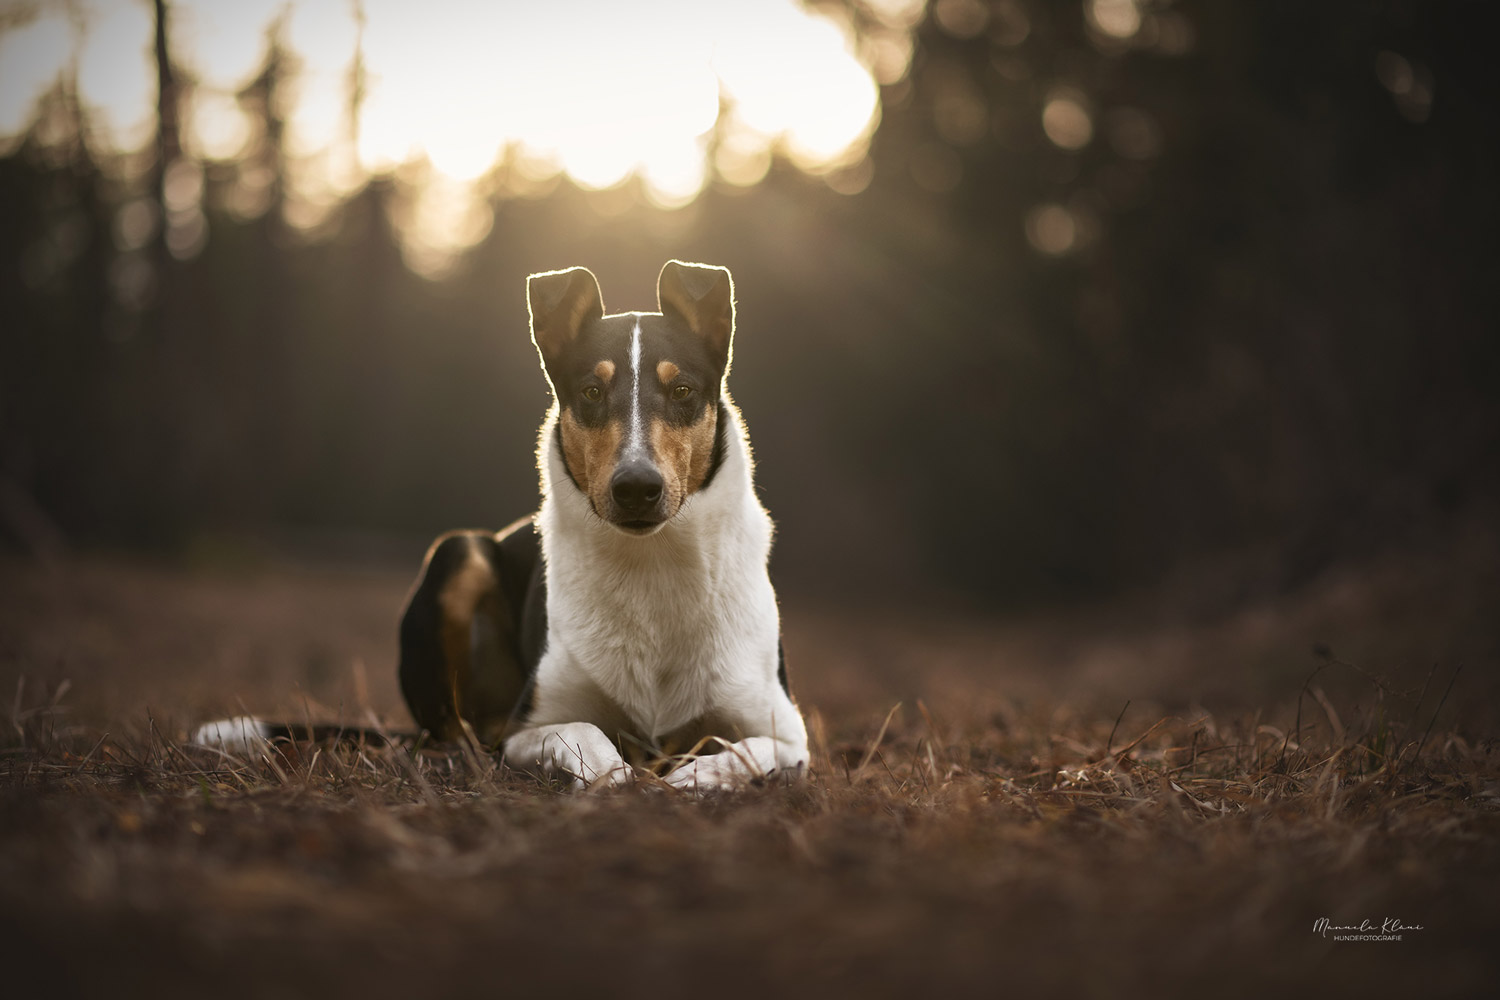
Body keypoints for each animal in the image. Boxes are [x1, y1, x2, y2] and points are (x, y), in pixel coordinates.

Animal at [204, 260, 810, 791]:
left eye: (682, 390)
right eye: (591, 392)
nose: (636, 487)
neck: (651, 565)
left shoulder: (788, 733)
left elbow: (747, 749)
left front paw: (695, 775)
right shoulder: (529, 727)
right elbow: (584, 732)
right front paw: (617, 774)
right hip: (460, 554)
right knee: (455, 734)